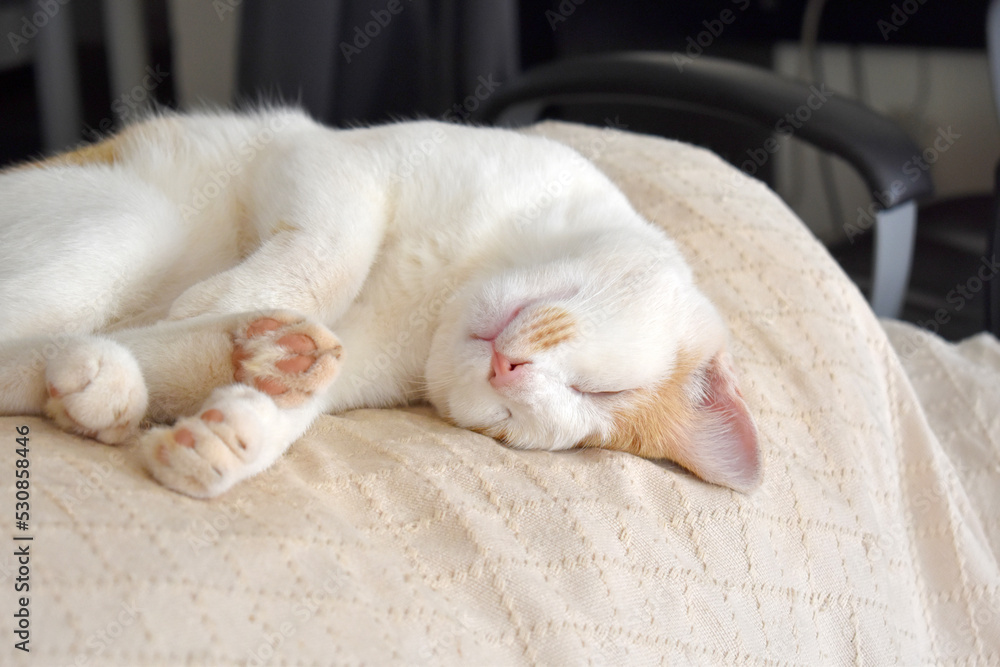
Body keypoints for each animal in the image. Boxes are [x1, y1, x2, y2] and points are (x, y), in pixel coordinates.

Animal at [0, 108, 756, 496]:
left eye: (509, 426)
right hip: (127, 222)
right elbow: (336, 248)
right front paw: (228, 299)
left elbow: (299, 409)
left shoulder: (362, 357)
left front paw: (231, 437)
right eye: (602, 390)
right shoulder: (329, 159)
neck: (447, 285)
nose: (510, 375)